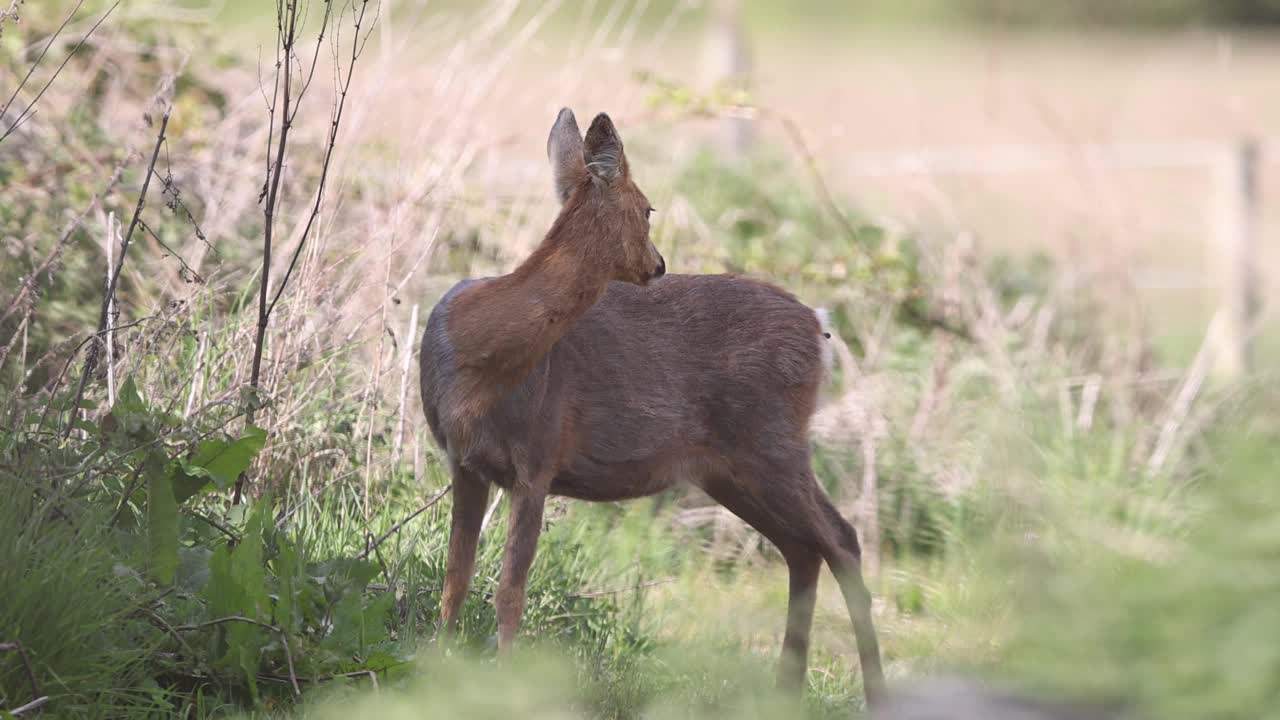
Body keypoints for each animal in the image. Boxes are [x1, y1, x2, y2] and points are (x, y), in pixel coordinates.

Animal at [424, 107, 885, 707]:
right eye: (647, 208)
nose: (659, 263)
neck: (478, 356)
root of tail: (818, 325)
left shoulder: (538, 457)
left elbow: (508, 592)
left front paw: (503, 685)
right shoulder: (464, 462)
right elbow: (455, 580)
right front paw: (435, 671)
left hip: (774, 442)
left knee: (841, 539)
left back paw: (874, 694)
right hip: (730, 467)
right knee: (802, 547)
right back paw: (784, 691)